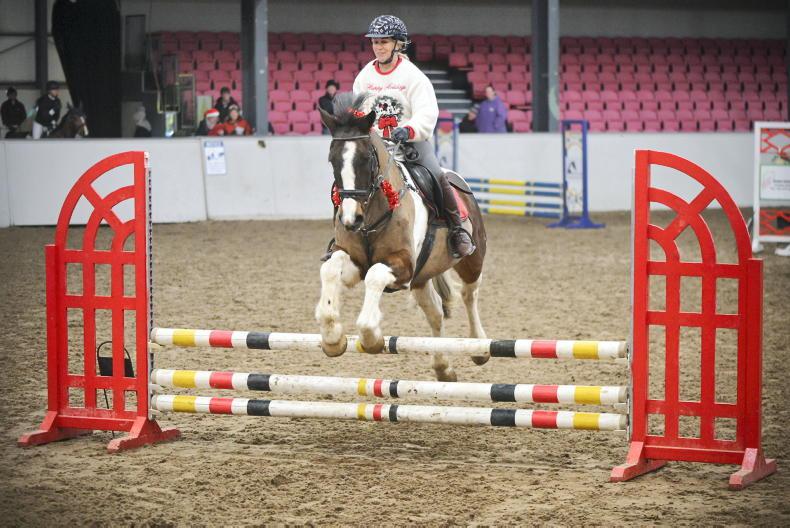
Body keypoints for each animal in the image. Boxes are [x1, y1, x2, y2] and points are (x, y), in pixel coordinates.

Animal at [315, 93, 487, 381]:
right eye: (332, 159)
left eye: (366, 159)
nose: (350, 220)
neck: (371, 217)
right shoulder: (354, 264)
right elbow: (330, 269)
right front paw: (332, 338)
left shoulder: (403, 266)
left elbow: (374, 277)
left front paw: (371, 336)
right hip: (422, 277)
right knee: (435, 313)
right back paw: (443, 367)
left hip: (471, 260)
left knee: (469, 294)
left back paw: (479, 347)